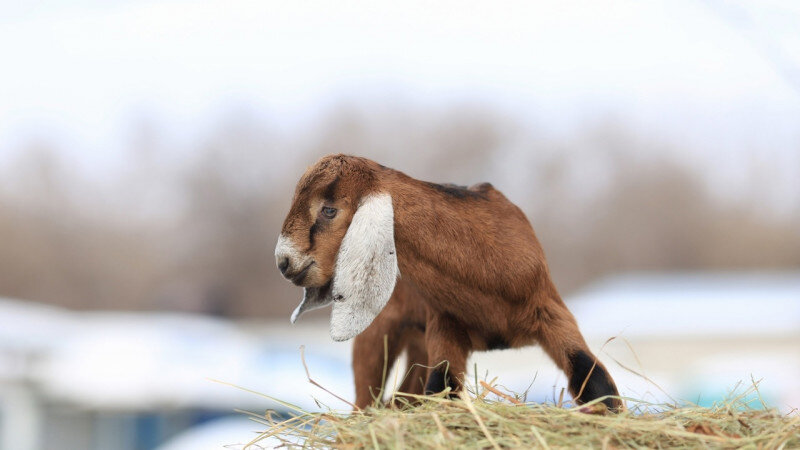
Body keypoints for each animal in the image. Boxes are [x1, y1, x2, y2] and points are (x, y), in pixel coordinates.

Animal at [278, 154, 620, 412]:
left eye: (329, 209)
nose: (284, 263)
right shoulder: (445, 324)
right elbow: (442, 388)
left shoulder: (551, 312)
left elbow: (594, 380)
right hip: (381, 331)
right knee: (368, 402)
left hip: (415, 342)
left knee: (399, 397)